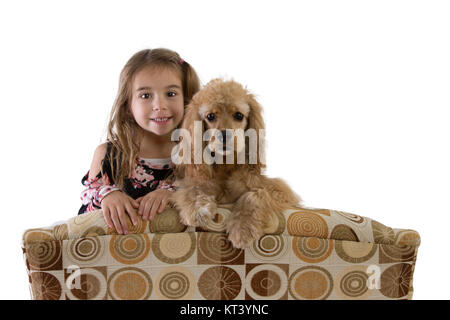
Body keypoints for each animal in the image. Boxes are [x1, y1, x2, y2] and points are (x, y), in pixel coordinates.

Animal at [171, 79, 300, 249]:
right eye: (210, 116)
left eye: (239, 115)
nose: (224, 135)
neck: (226, 165)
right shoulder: (190, 182)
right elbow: (193, 189)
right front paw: (198, 209)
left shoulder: (279, 190)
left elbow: (255, 195)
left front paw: (242, 228)